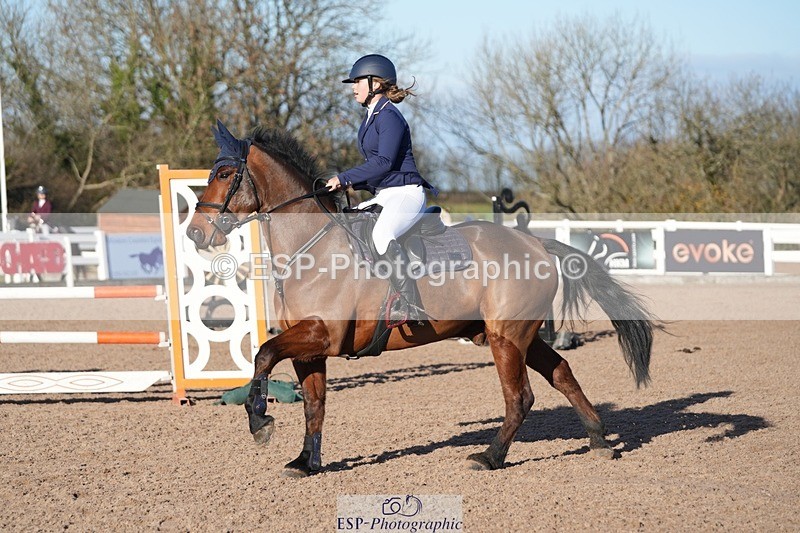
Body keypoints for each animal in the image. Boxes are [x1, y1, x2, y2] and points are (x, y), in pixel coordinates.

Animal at [187, 121, 657, 477]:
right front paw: (306, 462)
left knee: (520, 397)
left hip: (506, 338)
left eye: (225, 176)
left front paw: (259, 421)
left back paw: (490, 457)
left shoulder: (321, 336)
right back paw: (598, 439)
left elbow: (263, 355)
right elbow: (314, 405)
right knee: (561, 372)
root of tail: (537, 243)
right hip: (519, 334)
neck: (311, 248)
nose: (194, 233)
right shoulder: (309, 349)